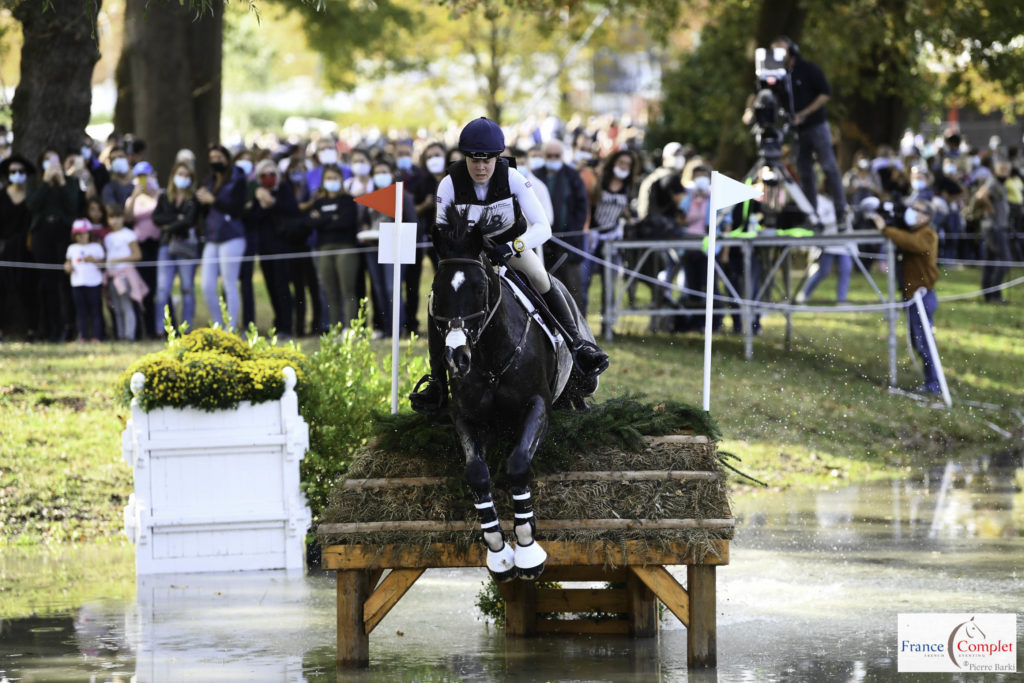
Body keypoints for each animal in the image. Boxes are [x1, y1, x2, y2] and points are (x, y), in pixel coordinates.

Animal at [425, 208, 598, 581]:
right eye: (437, 290)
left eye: (479, 288)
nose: (456, 358)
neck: (490, 359)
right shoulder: (466, 417)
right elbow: (476, 473)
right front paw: (498, 551)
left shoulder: (538, 407)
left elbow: (518, 464)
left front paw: (527, 549)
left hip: (574, 391)